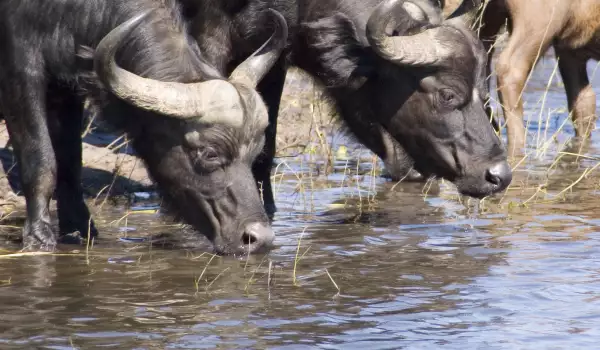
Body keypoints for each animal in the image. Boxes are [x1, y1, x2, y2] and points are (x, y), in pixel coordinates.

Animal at [0, 0, 288, 258]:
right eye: (210, 153)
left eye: (256, 154)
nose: (260, 239)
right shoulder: (21, 69)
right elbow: (41, 161)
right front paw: (39, 237)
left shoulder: (67, 85)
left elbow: (70, 161)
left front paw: (79, 230)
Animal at [182, 0, 510, 213]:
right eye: (447, 95)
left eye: (484, 91)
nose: (499, 176)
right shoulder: (209, 38)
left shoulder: (274, 54)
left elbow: (265, 147)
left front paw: (268, 210)